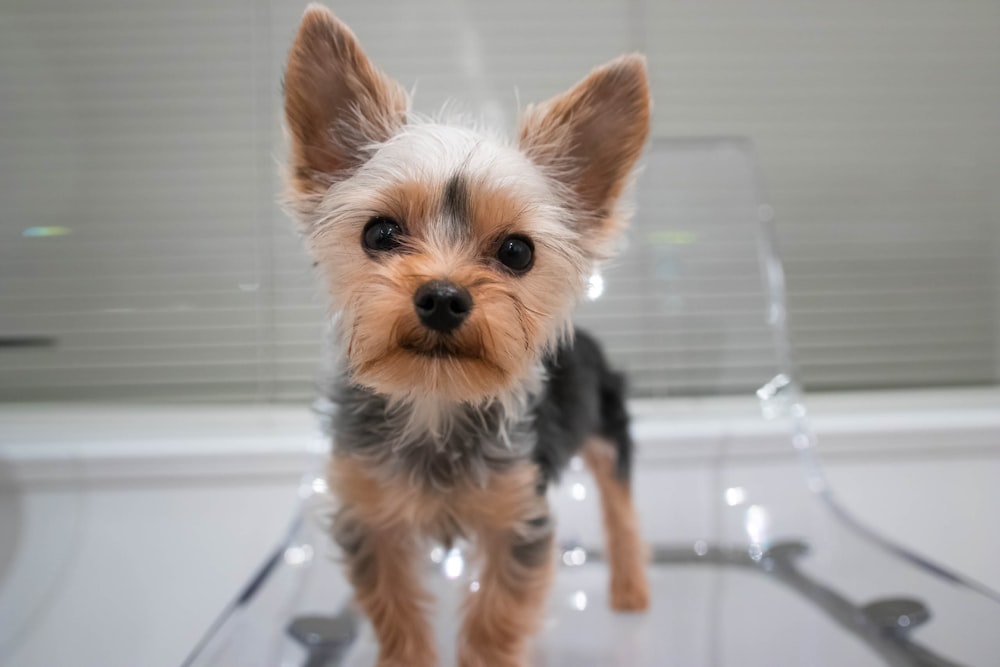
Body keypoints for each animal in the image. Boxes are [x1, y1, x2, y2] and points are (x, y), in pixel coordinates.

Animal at [286, 5, 652, 667]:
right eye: (379, 233)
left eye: (516, 251)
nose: (442, 296)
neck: (436, 399)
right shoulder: (371, 520)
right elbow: (398, 616)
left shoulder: (520, 519)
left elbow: (494, 623)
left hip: (609, 428)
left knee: (622, 506)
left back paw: (631, 587)